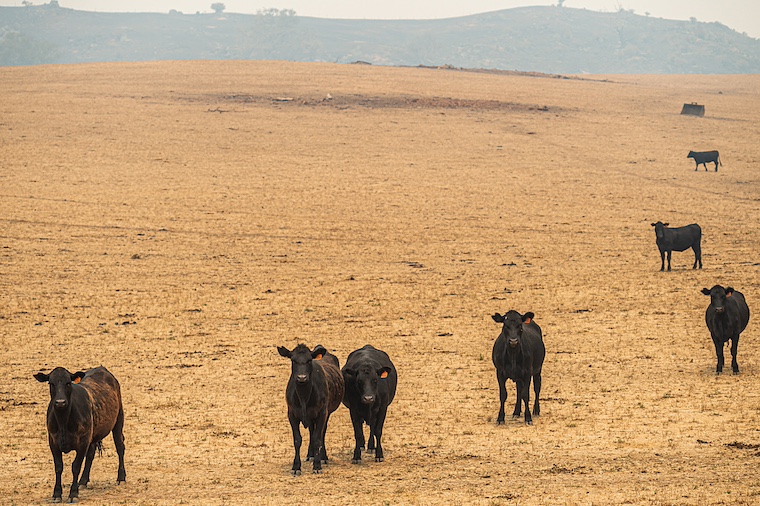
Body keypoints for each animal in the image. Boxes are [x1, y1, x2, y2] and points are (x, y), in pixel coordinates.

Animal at [34, 366, 126, 503]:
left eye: (68, 383)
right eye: (51, 383)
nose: (60, 402)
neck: (63, 421)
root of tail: (102, 369)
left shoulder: (82, 442)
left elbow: (75, 466)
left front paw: (73, 494)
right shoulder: (53, 442)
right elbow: (59, 466)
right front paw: (57, 494)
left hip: (118, 421)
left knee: (120, 447)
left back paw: (121, 477)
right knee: (91, 454)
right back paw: (83, 481)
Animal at [277, 344, 344, 475]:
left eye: (309, 360)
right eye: (293, 360)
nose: (301, 378)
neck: (304, 396)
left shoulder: (322, 413)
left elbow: (317, 438)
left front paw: (317, 466)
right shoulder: (291, 414)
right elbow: (297, 440)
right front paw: (296, 467)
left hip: (326, 413)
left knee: (321, 433)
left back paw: (323, 457)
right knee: (311, 431)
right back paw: (310, 455)